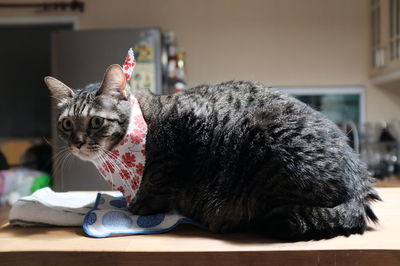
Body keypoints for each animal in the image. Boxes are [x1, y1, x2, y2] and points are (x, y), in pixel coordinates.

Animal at [45, 64, 380, 241]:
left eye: (95, 121)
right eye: (66, 123)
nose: (76, 142)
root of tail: (361, 188)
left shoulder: (184, 132)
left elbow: (161, 180)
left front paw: (141, 206)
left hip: (265, 142)